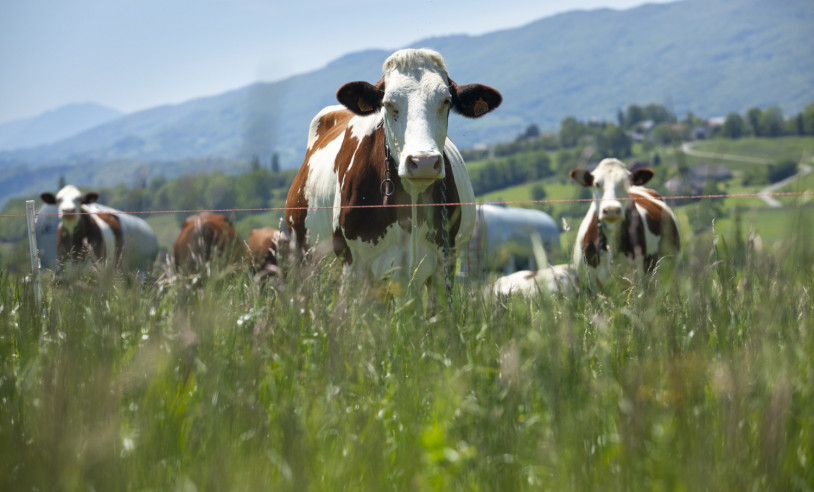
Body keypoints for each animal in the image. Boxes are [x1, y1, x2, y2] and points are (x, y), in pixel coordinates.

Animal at [286, 47, 504, 296]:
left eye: (446, 101)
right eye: (389, 103)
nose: (424, 162)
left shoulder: (443, 264)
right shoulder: (353, 265)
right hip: (305, 261)